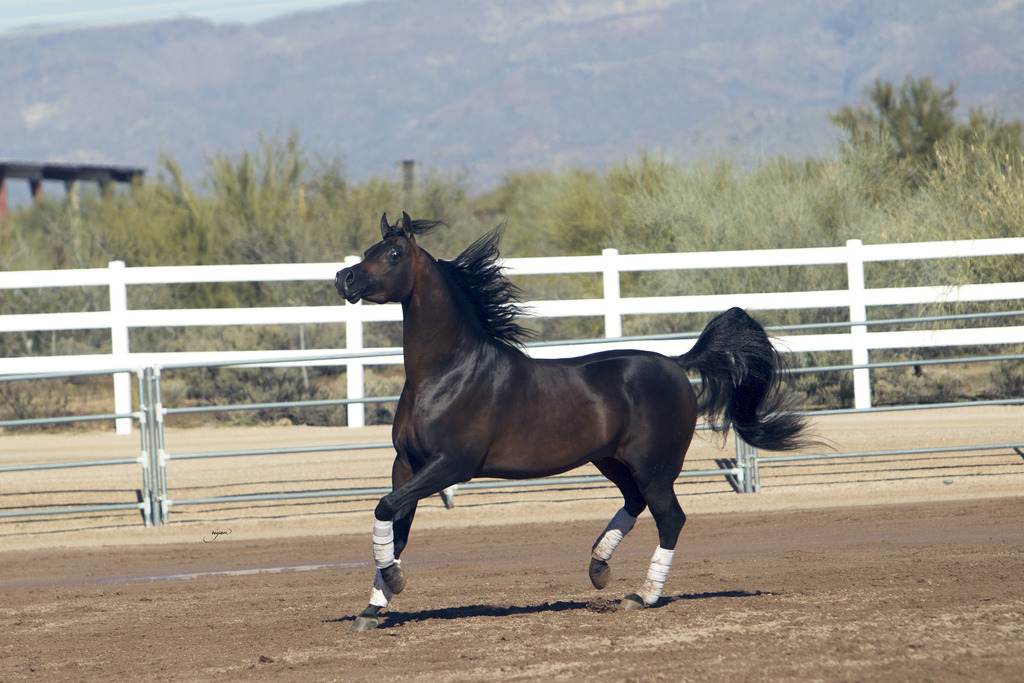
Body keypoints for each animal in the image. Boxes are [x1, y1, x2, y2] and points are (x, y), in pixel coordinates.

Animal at [335, 212, 813, 631]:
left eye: (393, 253)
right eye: (367, 249)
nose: (345, 278)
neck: (447, 373)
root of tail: (678, 363)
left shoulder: (451, 465)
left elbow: (384, 508)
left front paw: (393, 581)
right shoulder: (407, 464)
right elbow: (396, 526)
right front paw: (371, 608)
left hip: (654, 466)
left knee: (670, 519)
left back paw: (640, 596)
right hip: (612, 461)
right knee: (635, 504)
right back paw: (598, 568)